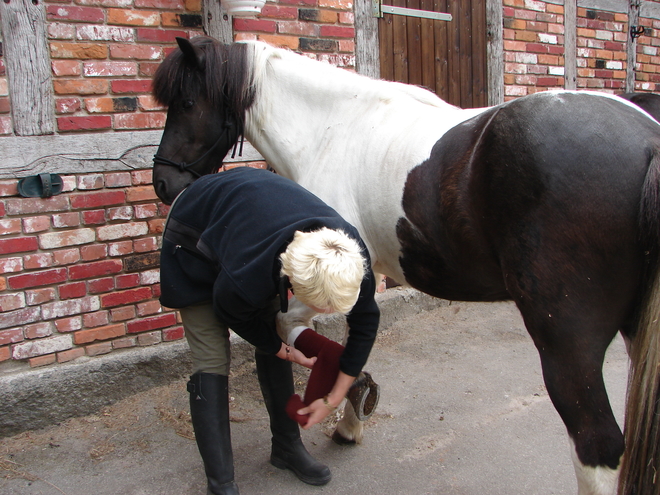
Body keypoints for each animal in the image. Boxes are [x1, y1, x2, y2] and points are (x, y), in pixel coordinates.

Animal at [150, 35, 660, 495]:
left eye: (188, 102)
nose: (162, 183)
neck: (333, 128)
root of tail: (647, 141)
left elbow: (288, 325)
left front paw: (346, 405)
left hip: (567, 346)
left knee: (596, 446)